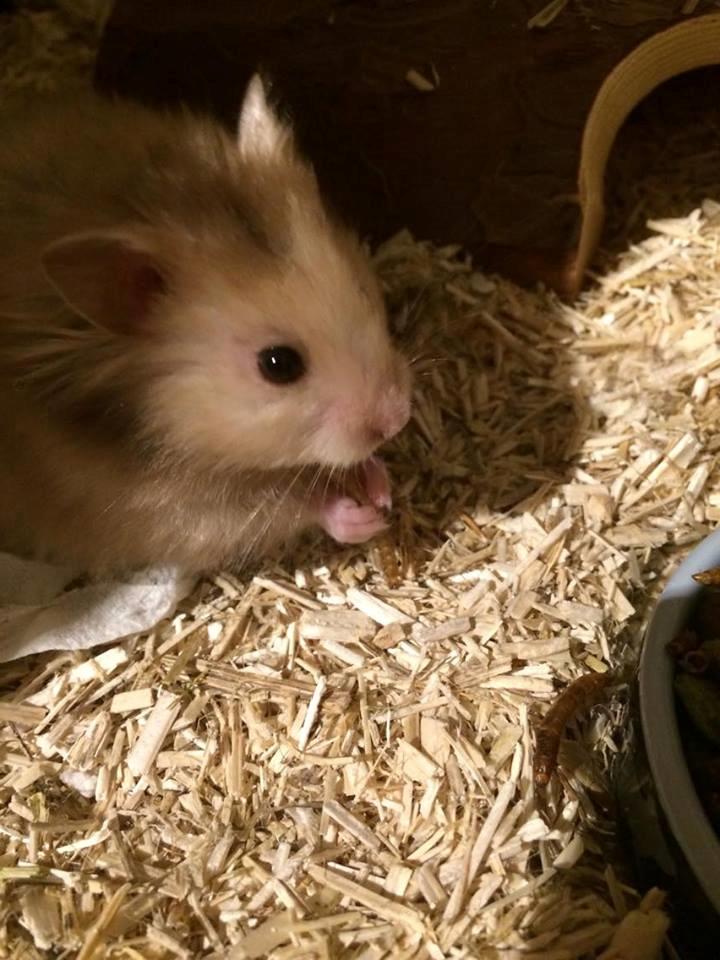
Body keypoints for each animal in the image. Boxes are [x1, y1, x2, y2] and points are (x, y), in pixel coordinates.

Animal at [0, 76, 411, 577]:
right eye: (278, 364)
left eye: (363, 289)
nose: (398, 417)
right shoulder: (163, 508)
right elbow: (283, 504)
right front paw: (364, 514)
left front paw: (379, 483)